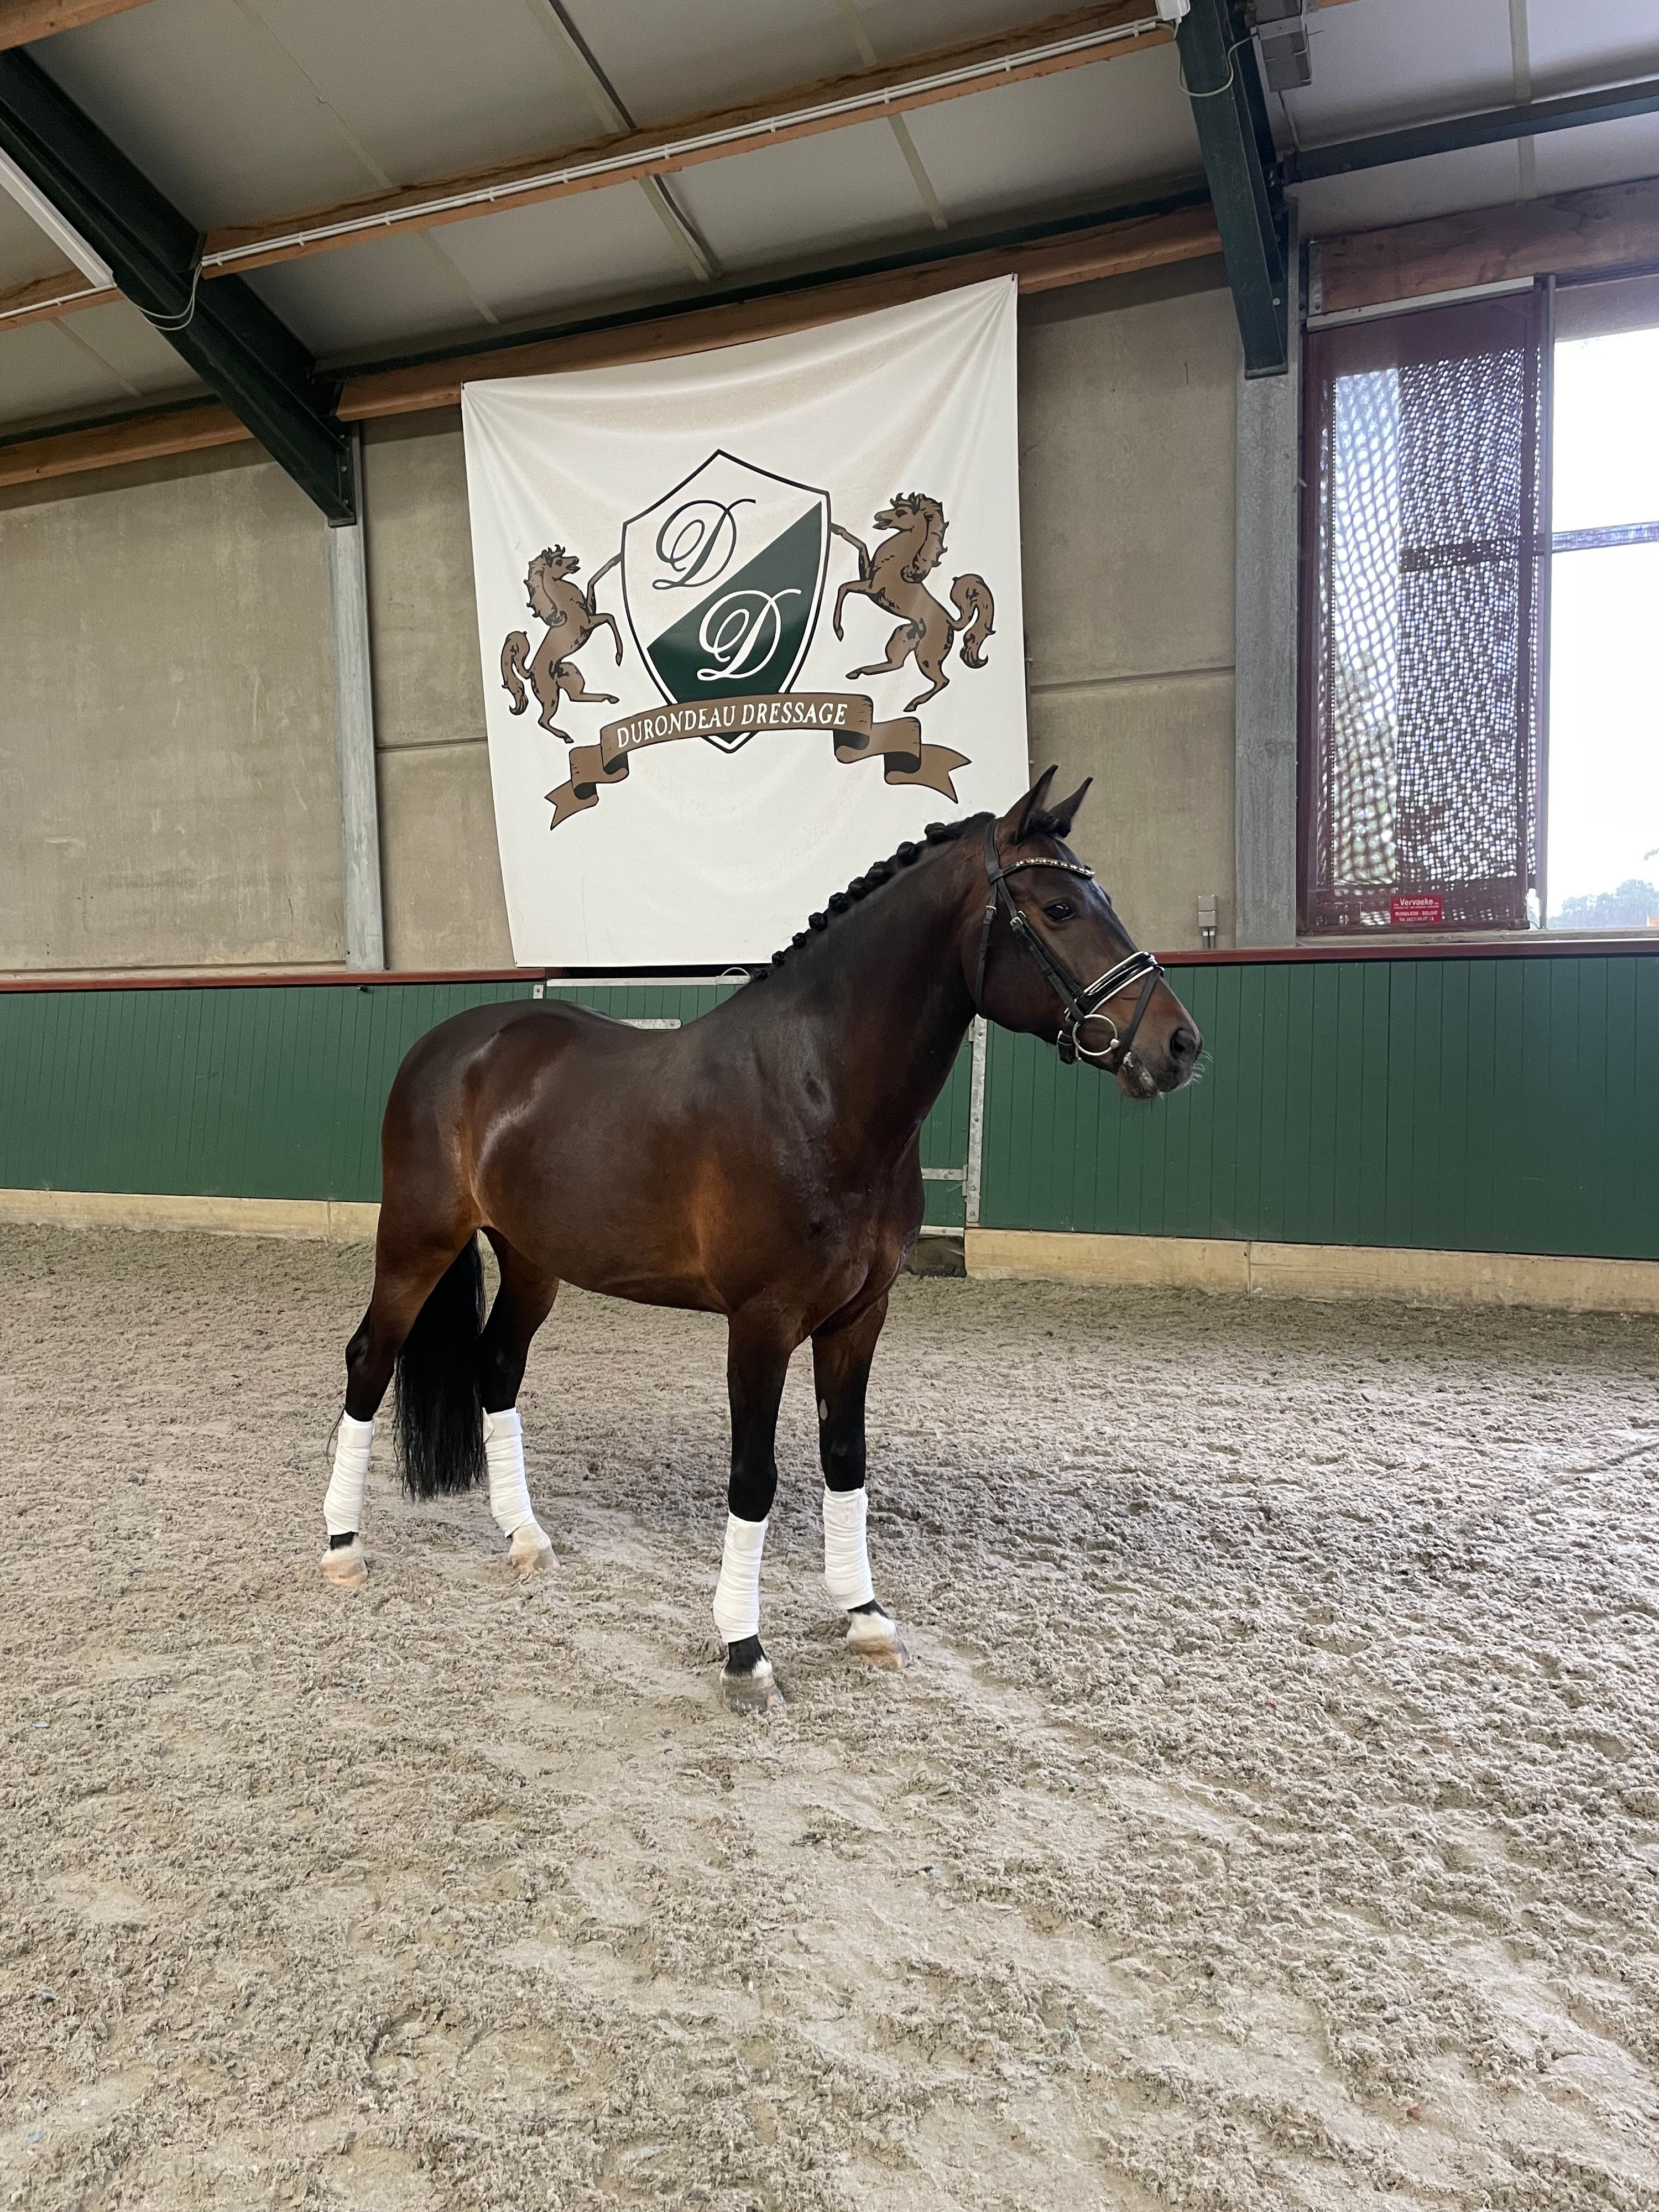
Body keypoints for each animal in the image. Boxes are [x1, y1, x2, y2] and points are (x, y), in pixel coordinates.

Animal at [318, 769, 1202, 1711]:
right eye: (1059, 907)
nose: (1179, 1044)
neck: (818, 1091)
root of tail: (451, 1043)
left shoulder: (859, 1319)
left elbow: (846, 1460)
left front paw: (865, 1617)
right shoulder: (762, 1323)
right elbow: (755, 1478)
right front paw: (744, 1652)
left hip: (531, 1260)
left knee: (495, 1367)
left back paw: (524, 1537)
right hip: (418, 1240)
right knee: (371, 1357)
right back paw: (342, 1549)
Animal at [500, 546, 624, 741]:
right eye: (558, 561)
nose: (576, 560)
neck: (566, 601)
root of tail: (530, 672)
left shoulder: (591, 610)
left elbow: (592, 581)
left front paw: (617, 558)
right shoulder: (589, 623)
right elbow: (610, 617)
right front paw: (619, 656)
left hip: (570, 672)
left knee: (576, 696)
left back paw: (609, 698)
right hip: (551, 695)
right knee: (543, 720)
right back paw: (566, 736)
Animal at [831, 494, 995, 713]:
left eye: (901, 512)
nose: (878, 516)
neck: (896, 560)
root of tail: (951, 622)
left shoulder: (871, 589)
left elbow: (844, 587)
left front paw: (839, 630)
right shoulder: (866, 575)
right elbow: (861, 545)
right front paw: (835, 528)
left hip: (926, 655)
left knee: (942, 680)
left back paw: (912, 705)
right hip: (903, 635)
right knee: (896, 664)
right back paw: (858, 672)